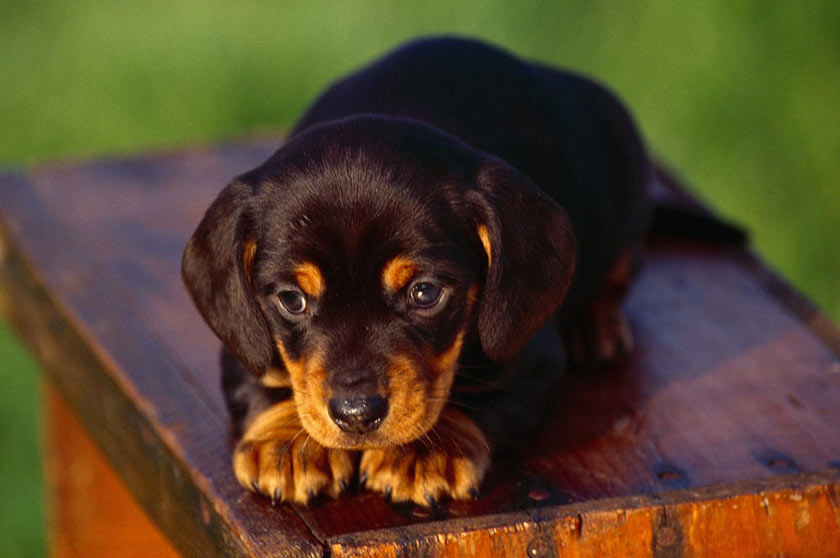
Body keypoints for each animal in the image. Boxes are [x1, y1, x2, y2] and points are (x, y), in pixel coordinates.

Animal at [182, 37, 648, 510]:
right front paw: (289, 442)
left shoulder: (532, 356)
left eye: (424, 293)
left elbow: (480, 395)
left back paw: (595, 326)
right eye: (292, 299)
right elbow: (260, 378)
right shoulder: (242, 338)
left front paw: (425, 451)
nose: (357, 414)